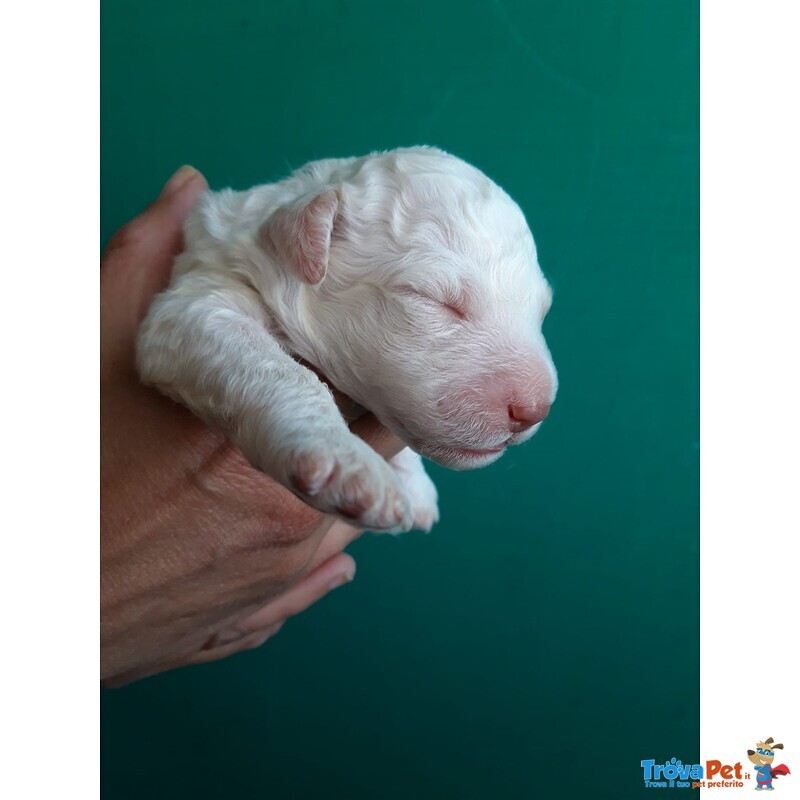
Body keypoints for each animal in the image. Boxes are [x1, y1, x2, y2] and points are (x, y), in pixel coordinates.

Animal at [136, 147, 556, 536]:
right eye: (434, 301)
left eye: (541, 312)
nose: (534, 410)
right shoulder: (196, 302)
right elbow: (281, 371)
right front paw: (349, 462)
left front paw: (416, 485)